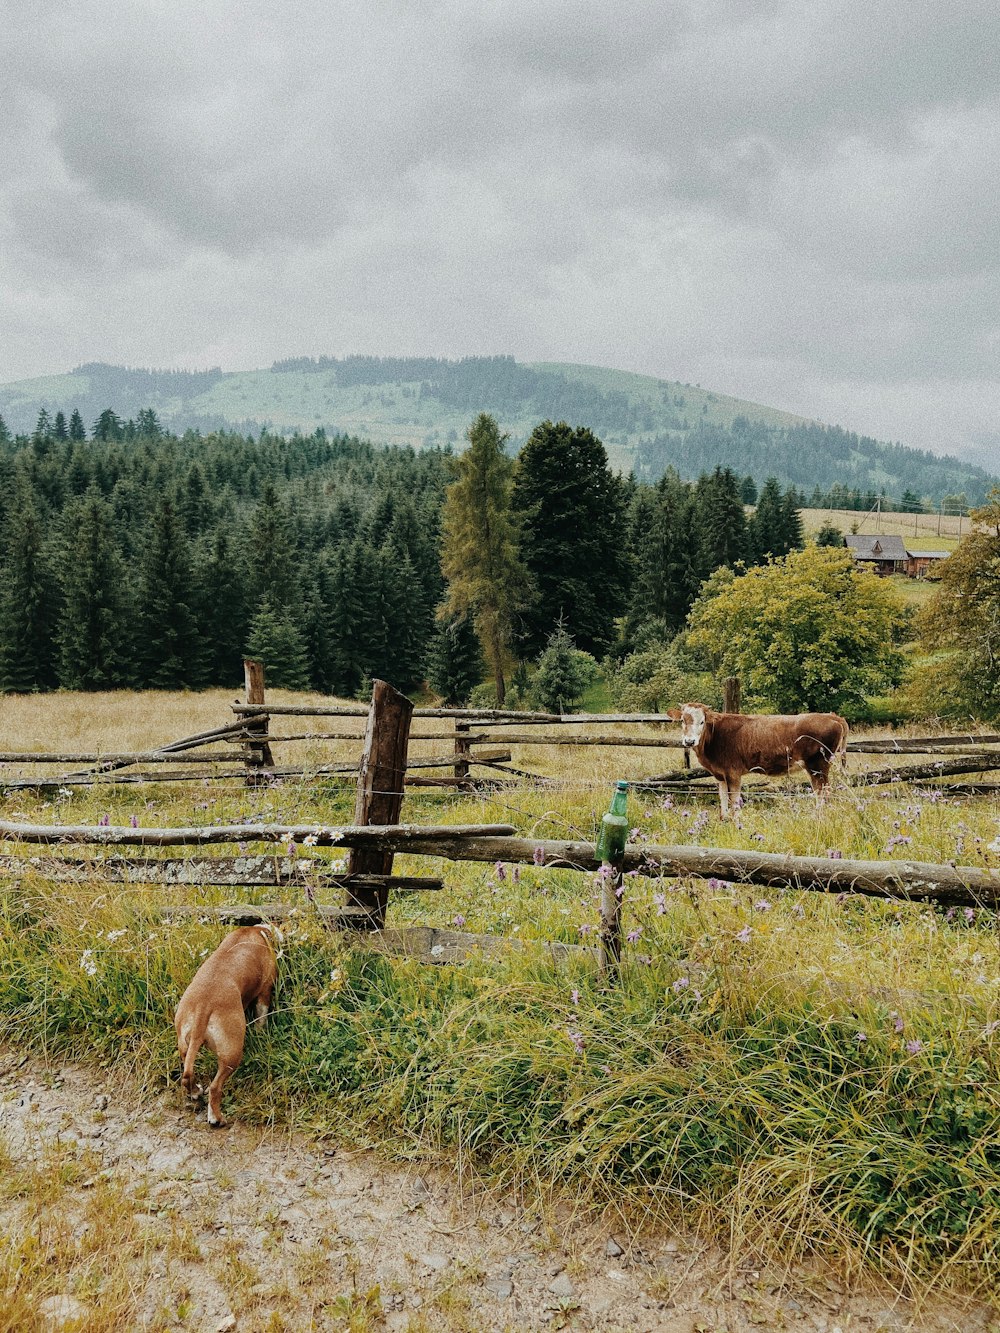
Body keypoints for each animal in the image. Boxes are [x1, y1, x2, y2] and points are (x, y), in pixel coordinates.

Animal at [174, 927, 280, 1125]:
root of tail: (203, 1006)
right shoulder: (265, 991)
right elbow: (262, 1016)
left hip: (184, 1045)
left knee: (187, 1076)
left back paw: (196, 1092)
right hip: (232, 1054)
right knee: (215, 1087)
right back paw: (216, 1118)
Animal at [669, 703, 848, 815]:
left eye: (702, 721)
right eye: (682, 720)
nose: (689, 741)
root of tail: (833, 716)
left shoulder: (733, 773)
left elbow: (734, 801)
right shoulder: (720, 775)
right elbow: (723, 800)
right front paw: (724, 821)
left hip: (818, 764)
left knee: (823, 792)